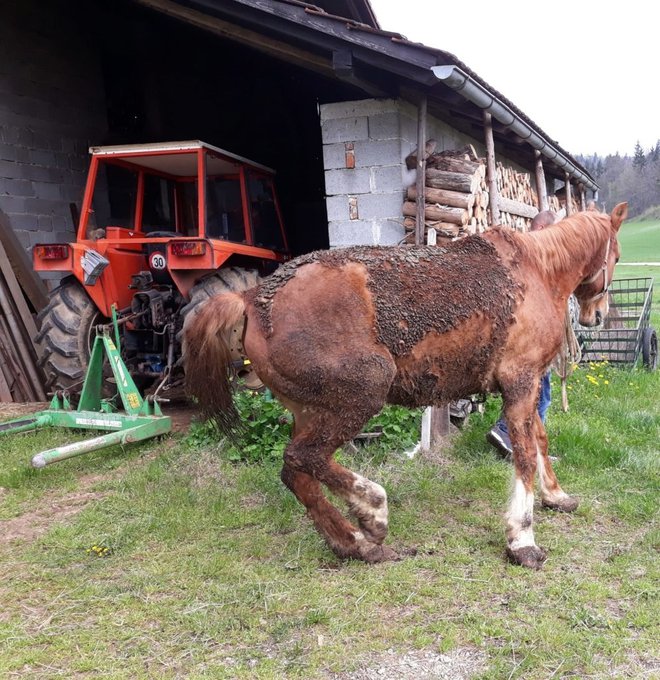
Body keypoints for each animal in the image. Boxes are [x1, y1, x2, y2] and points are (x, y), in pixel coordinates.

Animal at [183, 202, 628, 568]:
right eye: (617, 256)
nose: (598, 315)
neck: (537, 270)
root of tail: (251, 298)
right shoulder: (520, 381)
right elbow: (523, 454)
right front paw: (523, 541)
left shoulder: (529, 382)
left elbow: (540, 440)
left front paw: (556, 496)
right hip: (362, 393)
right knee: (303, 458)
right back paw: (373, 512)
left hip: (309, 410)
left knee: (296, 472)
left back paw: (355, 544)